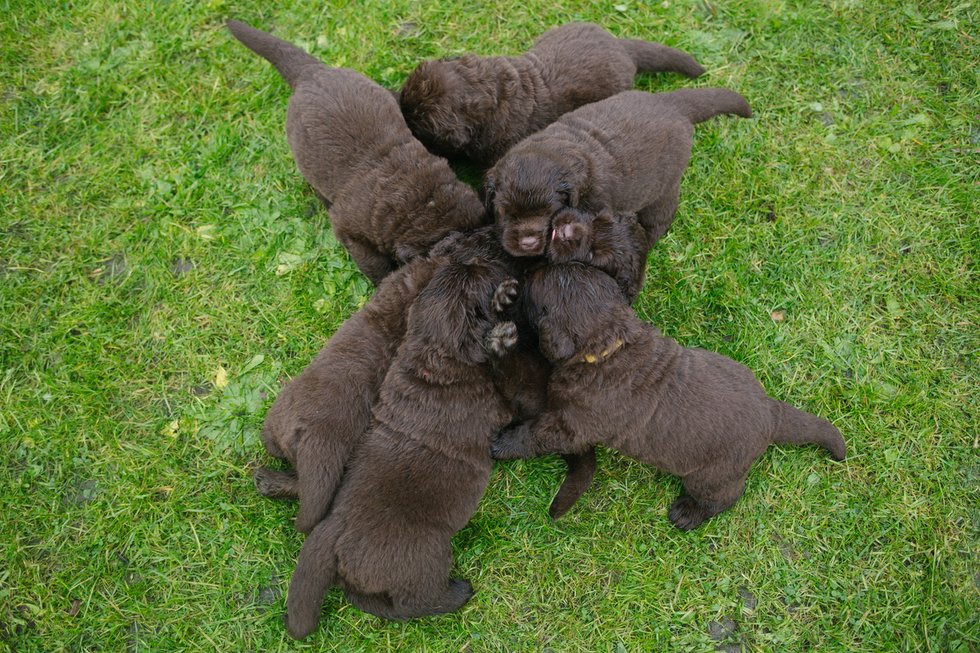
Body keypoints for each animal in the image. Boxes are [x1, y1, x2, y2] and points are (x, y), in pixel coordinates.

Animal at [286, 255, 520, 636]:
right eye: (476, 277)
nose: (467, 258)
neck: (435, 354)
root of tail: (334, 529)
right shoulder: (501, 404)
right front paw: (502, 327)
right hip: (427, 557)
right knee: (417, 602)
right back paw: (459, 593)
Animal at [486, 88, 756, 256]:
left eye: (550, 211)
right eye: (504, 211)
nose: (528, 242)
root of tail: (673, 104)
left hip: (664, 190)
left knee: (660, 219)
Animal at [494, 262, 848, 528]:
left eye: (535, 286)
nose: (532, 267)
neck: (607, 347)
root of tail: (771, 411)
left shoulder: (572, 426)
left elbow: (535, 435)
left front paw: (503, 443)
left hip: (712, 475)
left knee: (726, 497)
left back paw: (688, 514)